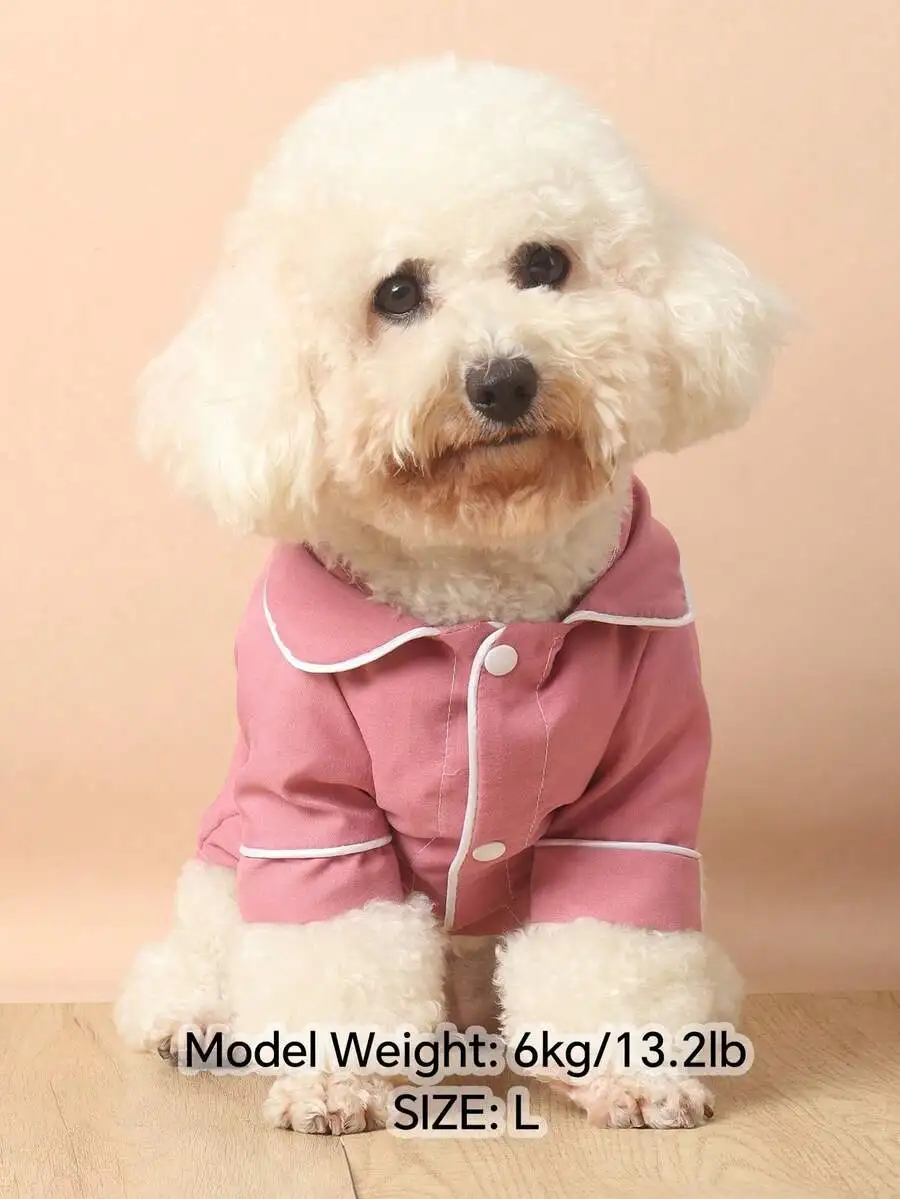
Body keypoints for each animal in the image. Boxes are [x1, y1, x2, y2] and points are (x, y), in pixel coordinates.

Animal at [115, 56, 781, 1133]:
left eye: (545, 263)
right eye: (397, 293)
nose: (503, 379)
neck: (481, 581)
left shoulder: (640, 792)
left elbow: (612, 940)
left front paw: (633, 1073)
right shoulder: (310, 808)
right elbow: (336, 948)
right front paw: (335, 1078)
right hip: (224, 870)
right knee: (197, 962)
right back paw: (187, 1015)